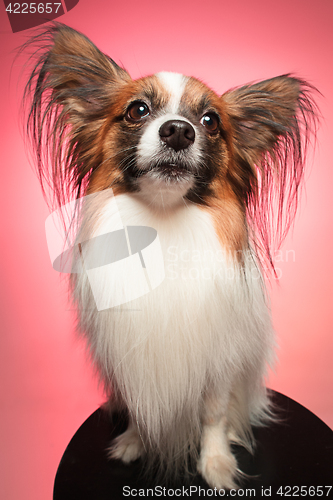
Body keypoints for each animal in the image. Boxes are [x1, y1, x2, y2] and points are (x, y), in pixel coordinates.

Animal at [22, 23, 316, 488]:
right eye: (137, 110)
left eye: (210, 121)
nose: (179, 130)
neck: (163, 221)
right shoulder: (132, 359)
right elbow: (142, 409)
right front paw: (134, 442)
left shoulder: (218, 361)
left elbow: (213, 415)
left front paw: (216, 464)